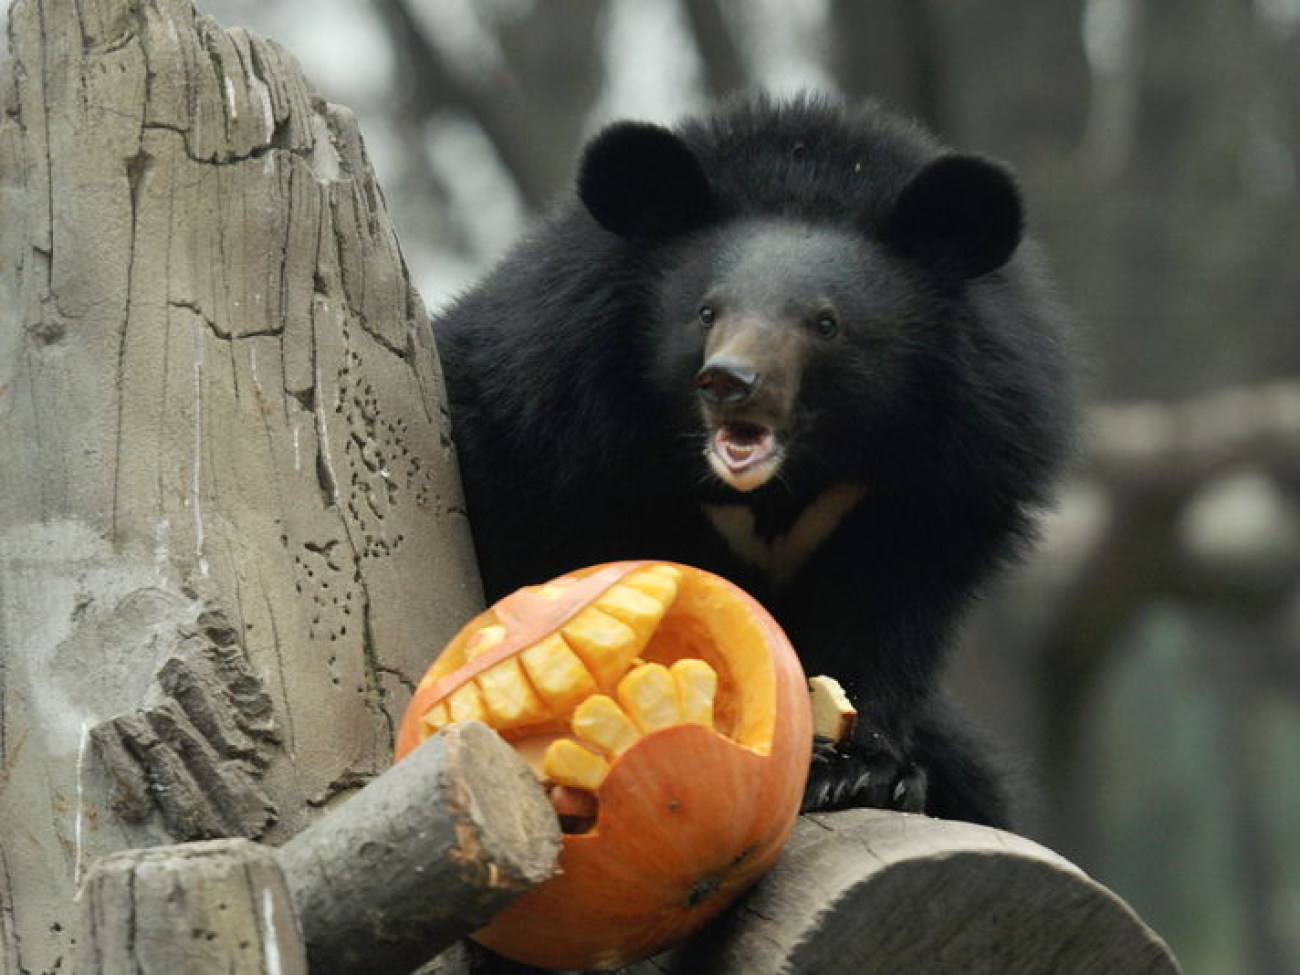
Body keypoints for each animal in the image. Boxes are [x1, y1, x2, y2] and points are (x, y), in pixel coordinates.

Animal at [431, 93, 1071, 832]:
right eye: (706, 311)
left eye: (826, 323)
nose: (729, 380)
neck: (782, 484)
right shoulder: (550, 422)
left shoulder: (946, 472)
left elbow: (890, 612)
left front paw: (865, 770)